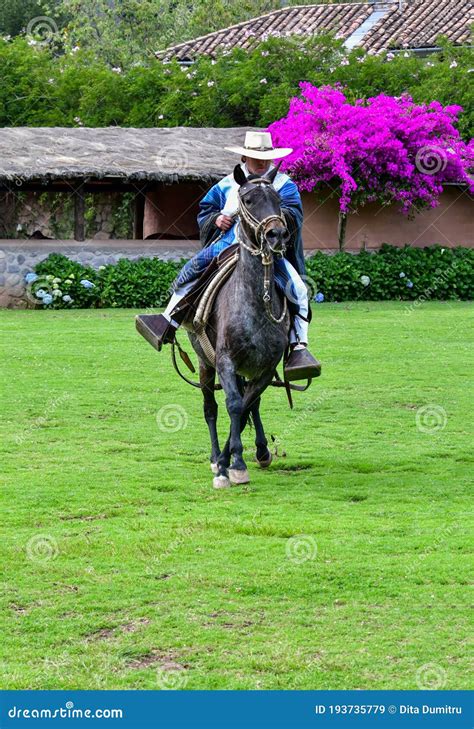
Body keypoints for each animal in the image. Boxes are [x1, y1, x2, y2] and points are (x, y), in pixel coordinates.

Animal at [187, 163, 292, 489]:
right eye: (247, 199)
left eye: (278, 200)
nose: (276, 234)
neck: (254, 304)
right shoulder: (224, 361)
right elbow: (233, 405)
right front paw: (226, 465)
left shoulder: (266, 368)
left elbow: (246, 406)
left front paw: (236, 459)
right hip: (204, 363)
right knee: (210, 408)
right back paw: (214, 456)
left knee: (250, 405)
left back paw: (258, 451)